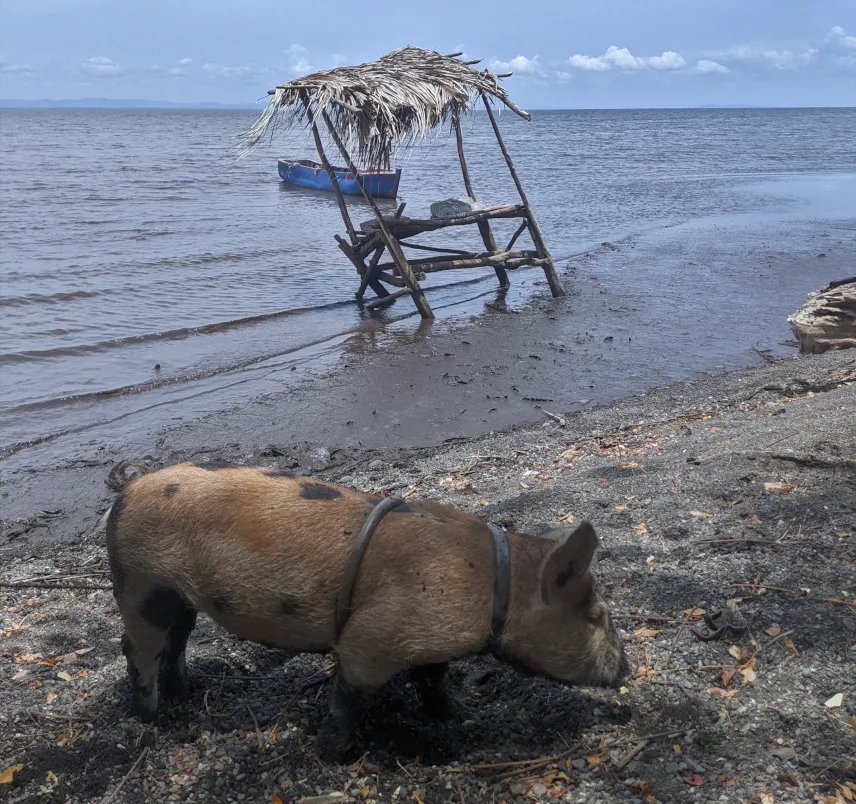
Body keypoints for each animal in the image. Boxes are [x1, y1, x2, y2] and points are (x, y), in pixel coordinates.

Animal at [105, 460, 629, 758]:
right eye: (597, 616)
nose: (625, 669)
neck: (496, 587)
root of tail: (126, 493)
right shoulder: (372, 640)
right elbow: (350, 698)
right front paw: (333, 754)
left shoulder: (429, 642)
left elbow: (434, 679)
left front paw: (454, 714)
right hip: (141, 585)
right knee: (137, 647)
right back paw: (154, 717)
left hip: (177, 596)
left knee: (177, 639)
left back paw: (186, 692)